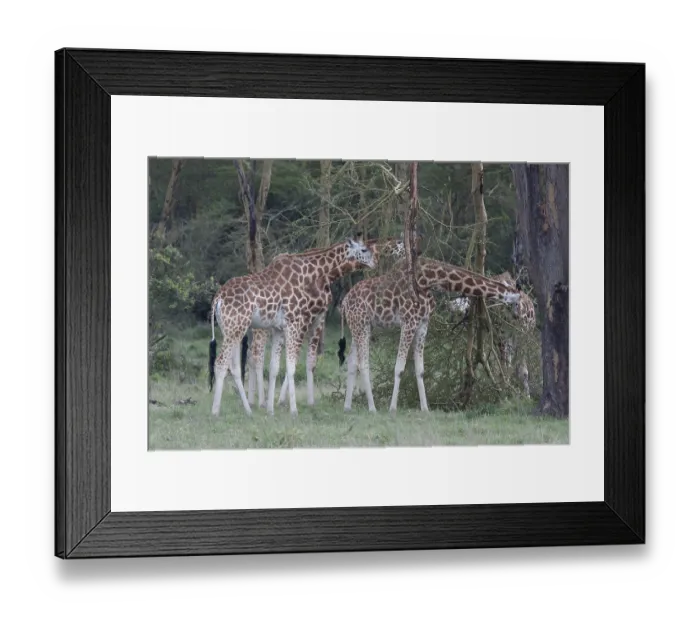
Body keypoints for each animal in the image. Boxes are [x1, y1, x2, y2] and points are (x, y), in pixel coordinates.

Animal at [208, 234, 378, 418]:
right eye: (364, 249)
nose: (374, 263)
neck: (311, 274)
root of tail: (217, 299)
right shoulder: (296, 323)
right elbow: (291, 366)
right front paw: (294, 410)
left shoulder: (279, 328)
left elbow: (274, 367)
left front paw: (271, 410)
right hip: (237, 328)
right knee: (222, 362)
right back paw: (215, 411)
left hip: (232, 330)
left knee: (234, 366)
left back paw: (248, 410)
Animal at [245, 237, 407, 409]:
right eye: (401, 245)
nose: (375, 263)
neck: (327, 276)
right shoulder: (306, 317)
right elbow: (298, 358)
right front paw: (288, 401)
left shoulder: (316, 316)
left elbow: (307, 360)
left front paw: (299, 401)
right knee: (257, 353)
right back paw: (261, 401)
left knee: (251, 352)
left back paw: (252, 400)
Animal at [337, 257, 523, 414]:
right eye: (518, 301)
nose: (518, 316)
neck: (430, 279)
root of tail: (344, 303)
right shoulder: (409, 321)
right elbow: (399, 368)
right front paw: (392, 408)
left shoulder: (422, 324)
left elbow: (420, 370)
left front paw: (425, 409)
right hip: (361, 325)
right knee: (363, 363)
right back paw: (372, 408)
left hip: (361, 326)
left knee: (352, 362)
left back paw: (347, 407)